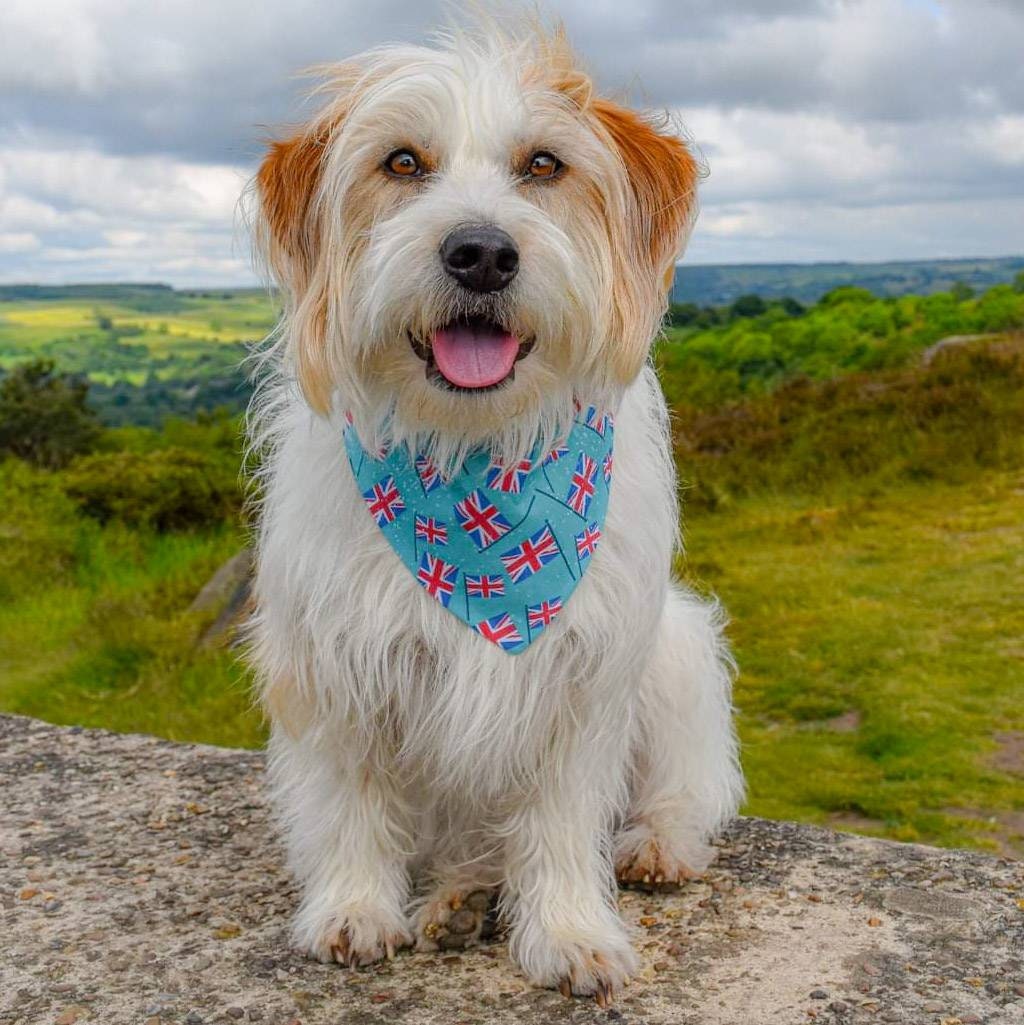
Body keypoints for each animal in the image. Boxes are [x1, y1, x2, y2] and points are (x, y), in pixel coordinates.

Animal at [248, 16, 746, 1004]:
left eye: (544, 164)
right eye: (402, 162)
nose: (480, 252)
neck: (474, 466)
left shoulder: (582, 671)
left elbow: (560, 816)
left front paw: (569, 929)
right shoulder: (336, 659)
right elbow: (354, 794)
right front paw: (355, 905)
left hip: (674, 645)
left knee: (686, 786)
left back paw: (652, 846)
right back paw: (457, 899)